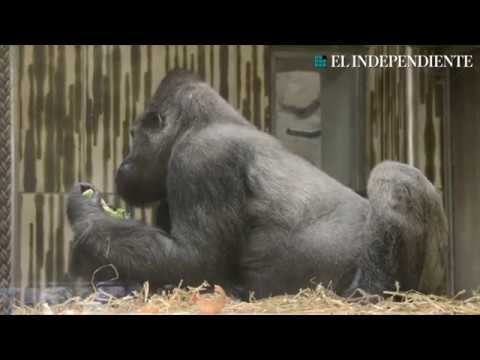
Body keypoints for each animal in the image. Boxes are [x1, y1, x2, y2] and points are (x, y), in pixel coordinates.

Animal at [65, 69, 448, 300]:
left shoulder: (202, 158)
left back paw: (369, 293)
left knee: (392, 174)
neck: (202, 121)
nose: (123, 164)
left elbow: (193, 261)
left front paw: (86, 215)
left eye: (134, 136)